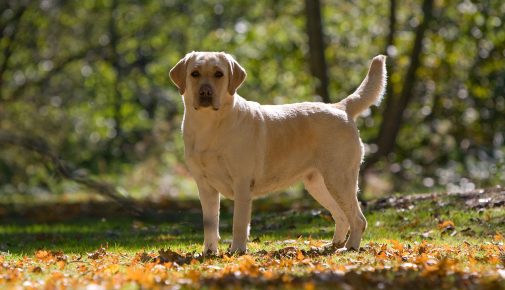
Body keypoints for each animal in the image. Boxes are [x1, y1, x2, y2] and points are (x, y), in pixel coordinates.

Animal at [169, 52, 386, 254]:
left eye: (219, 74)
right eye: (195, 73)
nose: (205, 92)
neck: (209, 125)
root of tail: (340, 107)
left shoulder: (242, 183)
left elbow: (239, 223)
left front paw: (237, 251)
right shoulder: (204, 185)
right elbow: (210, 224)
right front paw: (209, 252)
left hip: (339, 179)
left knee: (358, 219)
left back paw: (350, 247)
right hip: (319, 184)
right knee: (341, 215)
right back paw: (333, 245)